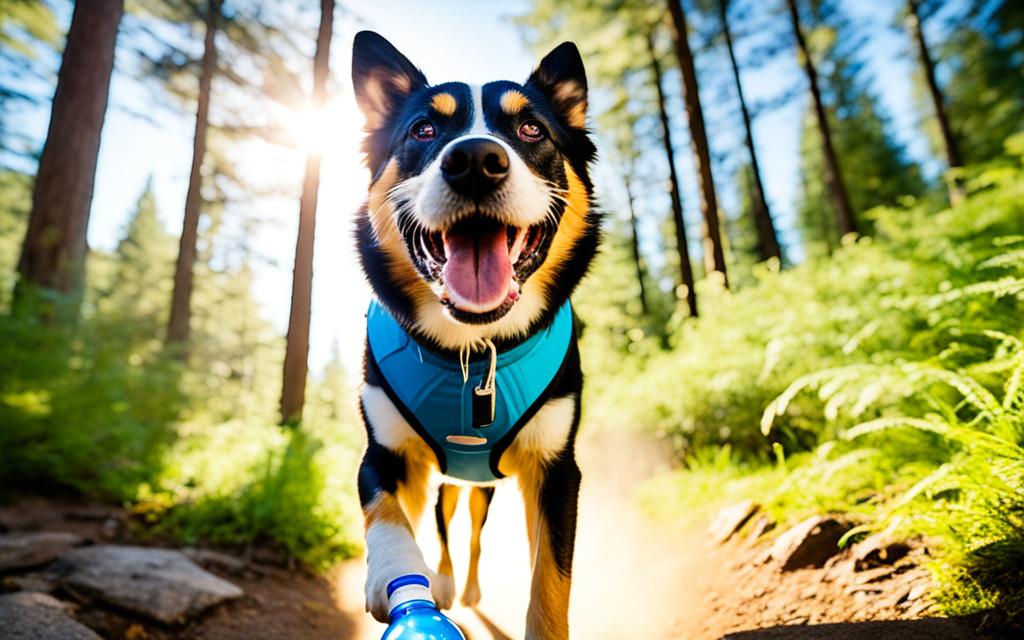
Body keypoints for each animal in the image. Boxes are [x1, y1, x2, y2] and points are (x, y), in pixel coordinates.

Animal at [350, 28, 598, 634]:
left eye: (532, 128)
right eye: (424, 130)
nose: (476, 160)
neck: (472, 349)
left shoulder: (558, 471)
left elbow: (550, 581)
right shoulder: (384, 453)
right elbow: (386, 514)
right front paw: (396, 580)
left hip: (484, 490)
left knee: (478, 537)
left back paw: (472, 589)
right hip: (449, 486)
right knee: (443, 531)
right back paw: (441, 584)